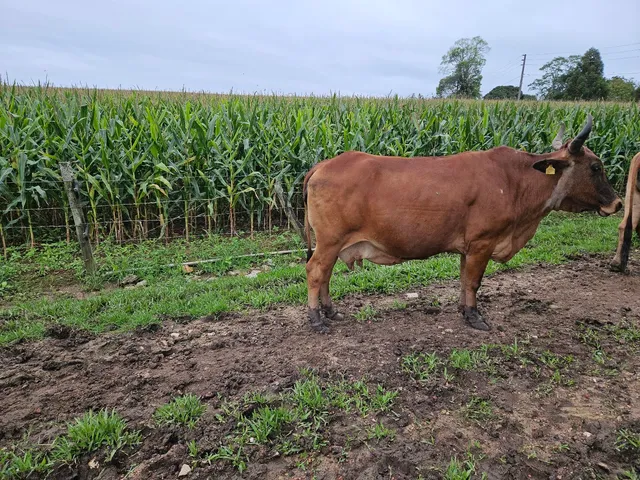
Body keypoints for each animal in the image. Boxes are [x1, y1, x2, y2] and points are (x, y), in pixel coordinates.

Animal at [302, 114, 622, 334]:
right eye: (596, 167)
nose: (618, 203)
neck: (516, 181)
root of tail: (324, 164)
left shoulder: (468, 247)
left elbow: (463, 279)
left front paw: (463, 309)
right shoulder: (483, 242)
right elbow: (474, 281)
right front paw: (474, 316)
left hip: (333, 244)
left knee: (325, 274)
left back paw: (331, 311)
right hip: (330, 241)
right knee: (316, 272)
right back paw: (317, 319)